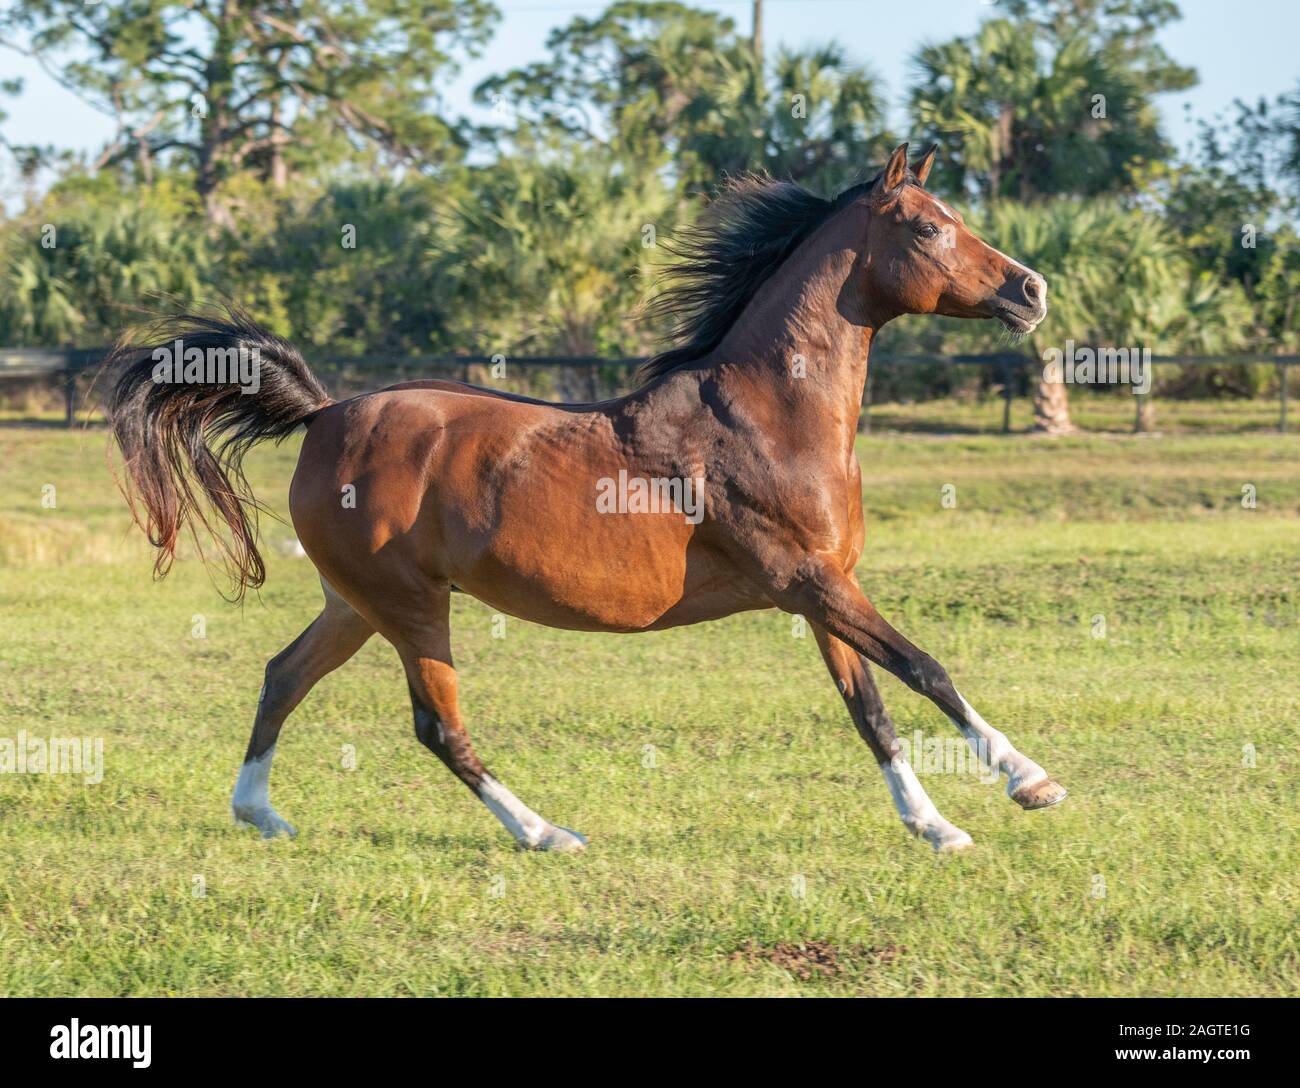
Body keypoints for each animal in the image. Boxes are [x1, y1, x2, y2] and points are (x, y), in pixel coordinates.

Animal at [105, 143, 1066, 854]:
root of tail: (324, 412)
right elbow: (926, 669)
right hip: (409, 607)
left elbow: (872, 711)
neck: (770, 416)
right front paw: (1030, 781)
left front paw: (935, 827)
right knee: (436, 727)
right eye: (929, 226)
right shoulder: (809, 581)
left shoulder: (822, 590)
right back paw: (546, 833)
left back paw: (260, 815)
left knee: (283, 676)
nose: (1032, 290)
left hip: (357, 603)